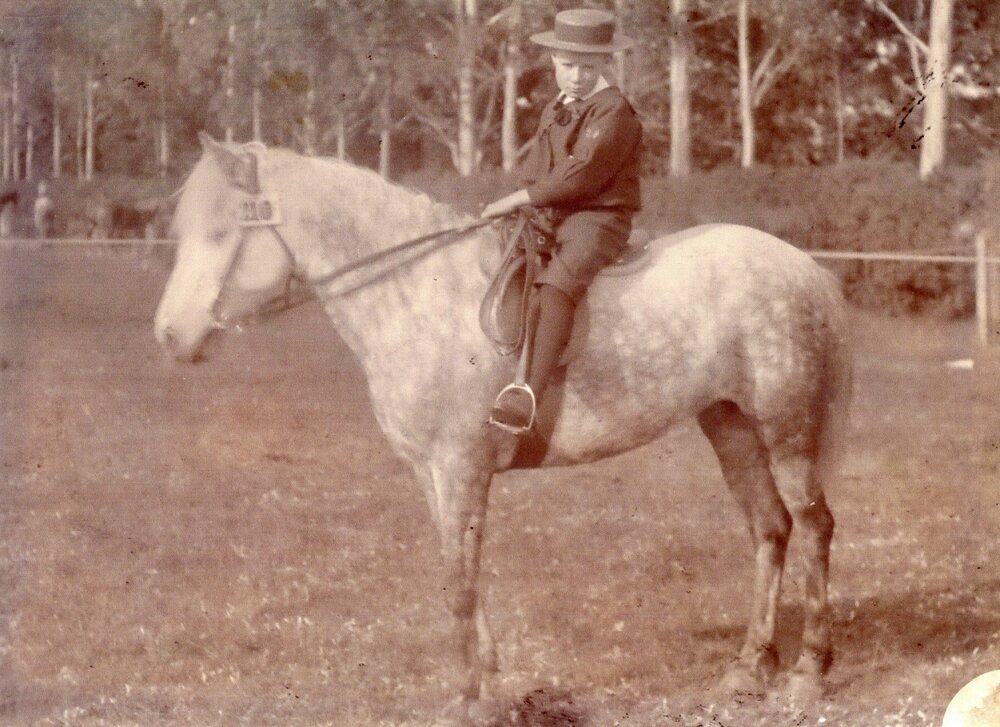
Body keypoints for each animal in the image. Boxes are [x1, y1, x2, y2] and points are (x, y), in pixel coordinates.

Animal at [155, 133, 851, 723]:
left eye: (220, 232)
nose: (168, 336)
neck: (420, 293)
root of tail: (803, 266)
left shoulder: (462, 468)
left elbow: (461, 586)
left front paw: (474, 702)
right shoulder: (433, 475)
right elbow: (458, 574)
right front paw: (487, 688)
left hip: (786, 428)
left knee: (813, 525)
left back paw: (807, 672)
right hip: (731, 425)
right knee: (770, 528)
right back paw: (748, 668)